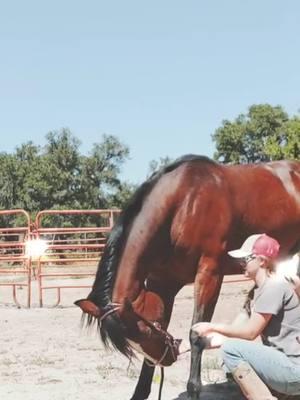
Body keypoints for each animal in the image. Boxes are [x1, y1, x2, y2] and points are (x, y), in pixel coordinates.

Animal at [75, 155, 300, 400]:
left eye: (146, 331)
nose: (168, 359)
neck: (183, 205)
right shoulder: (162, 283)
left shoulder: (210, 274)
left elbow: (196, 334)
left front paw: (193, 389)